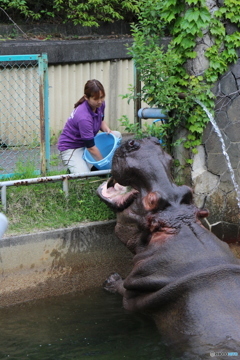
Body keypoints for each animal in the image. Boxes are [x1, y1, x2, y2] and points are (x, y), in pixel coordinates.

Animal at [97, 137, 240, 358]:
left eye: (151, 201)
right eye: (187, 190)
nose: (141, 143)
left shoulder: (131, 297)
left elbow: (121, 288)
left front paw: (111, 280)